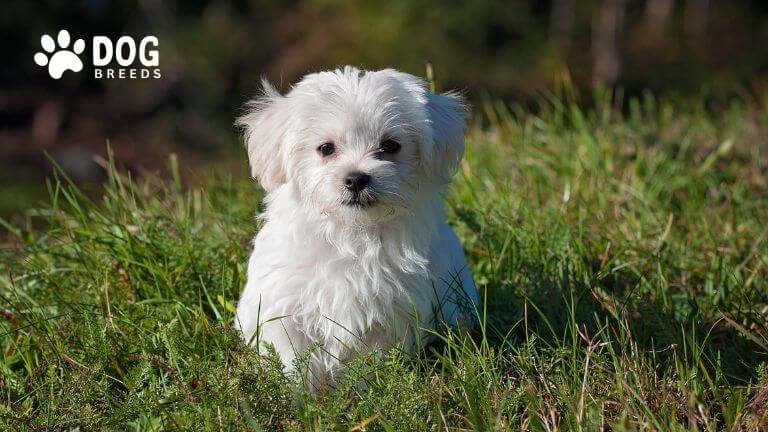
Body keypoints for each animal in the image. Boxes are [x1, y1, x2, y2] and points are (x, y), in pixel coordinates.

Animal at [234, 67, 476, 388]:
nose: (356, 178)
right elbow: (292, 358)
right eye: (325, 148)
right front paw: (299, 396)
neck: (351, 232)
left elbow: (371, 360)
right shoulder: (284, 306)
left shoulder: (390, 313)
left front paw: (364, 391)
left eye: (390, 146)